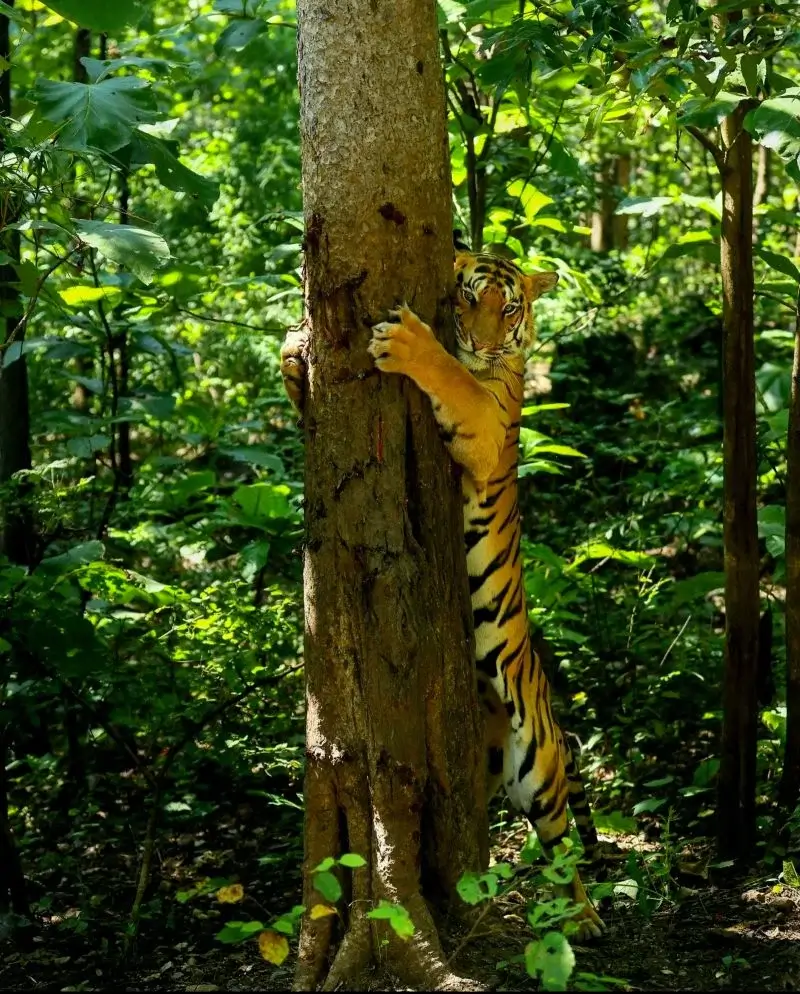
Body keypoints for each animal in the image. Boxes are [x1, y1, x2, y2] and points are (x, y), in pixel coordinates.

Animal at [280, 247, 604, 941]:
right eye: (466, 298)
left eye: (507, 308)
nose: (482, 343)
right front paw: (294, 351)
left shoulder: (485, 422)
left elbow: (453, 379)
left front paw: (408, 343)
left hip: (540, 767)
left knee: (564, 846)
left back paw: (585, 918)